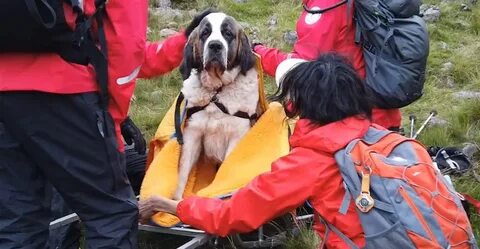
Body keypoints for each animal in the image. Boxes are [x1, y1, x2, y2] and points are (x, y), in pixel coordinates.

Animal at [173, 12, 258, 200]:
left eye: (227, 34)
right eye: (205, 33)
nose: (215, 45)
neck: (216, 93)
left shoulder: (237, 136)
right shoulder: (192, 132)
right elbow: (183, 171)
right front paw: (175, 200)